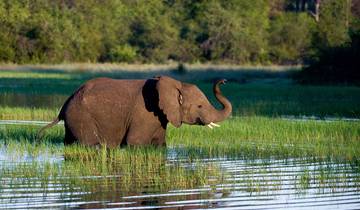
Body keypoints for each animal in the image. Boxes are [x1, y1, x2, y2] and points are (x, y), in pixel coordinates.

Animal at [38, 76, 231, 148]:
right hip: (81, 116)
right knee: (90, 144)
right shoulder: (144, 113)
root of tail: (65, 104)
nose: (224, 80)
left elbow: (160, 144)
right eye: (200, 106)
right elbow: (135, 142)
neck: (176, 84)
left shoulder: (159, 116)